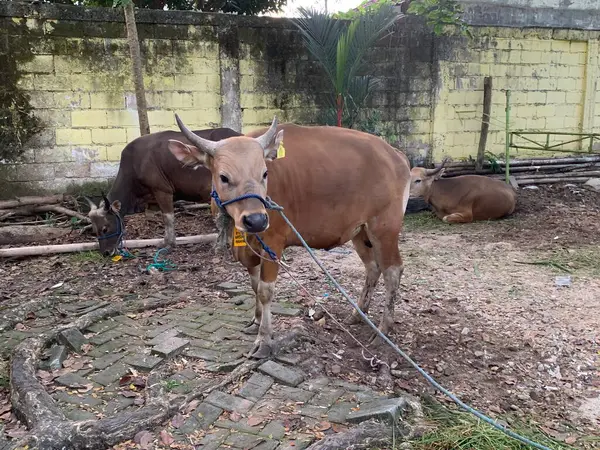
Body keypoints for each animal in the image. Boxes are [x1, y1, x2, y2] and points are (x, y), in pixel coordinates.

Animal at [168, 113, 412, 358]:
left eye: (264, 173)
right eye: (224, 177)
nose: (256, 220)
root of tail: (396, 155)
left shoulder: (273, 244)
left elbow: (265, 291)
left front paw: (264, 339)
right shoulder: (250, 249)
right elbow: (254, 285)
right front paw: (256, 320)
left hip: (384, 229)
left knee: (393, 271)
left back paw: (383, 330)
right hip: (360, 232)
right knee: (373, 268)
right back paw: (358, 314)